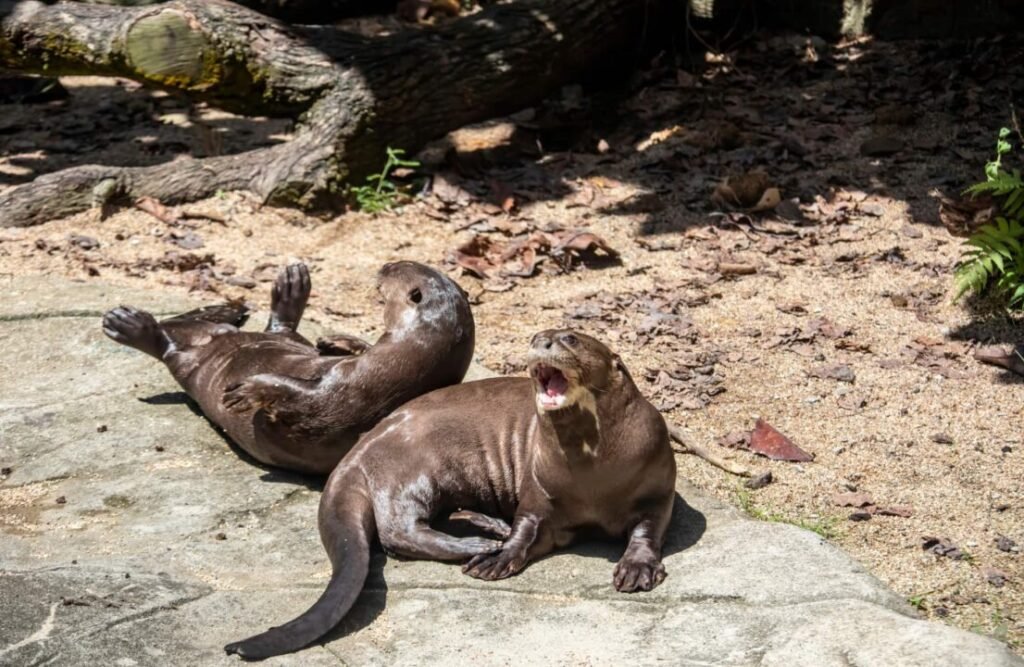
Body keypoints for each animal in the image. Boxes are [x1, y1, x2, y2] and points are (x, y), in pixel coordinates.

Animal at [99, 261, 475, 475]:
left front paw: (248, 391)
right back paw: (282, 289)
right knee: (278, 327)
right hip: (278, 337)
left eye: (399, 269)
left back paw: (127, 324)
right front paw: (338, 340)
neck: (400, 361)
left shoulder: (353, 395)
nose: (386, 263)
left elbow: (300, 397)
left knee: (170, 348)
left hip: (190, 366)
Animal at [225, 327, 675, 655]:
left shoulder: (657, 487)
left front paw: (637, 567)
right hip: (412, 470)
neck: (592, 476)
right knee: (399, 532)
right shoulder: (540, 491)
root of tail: (354, 455)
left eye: (572, 339)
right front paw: (501, 557)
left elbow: (648, 529)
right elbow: (528, 527)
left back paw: (488, 527)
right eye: (539, 335)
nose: (541, 339)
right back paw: (480, 545)